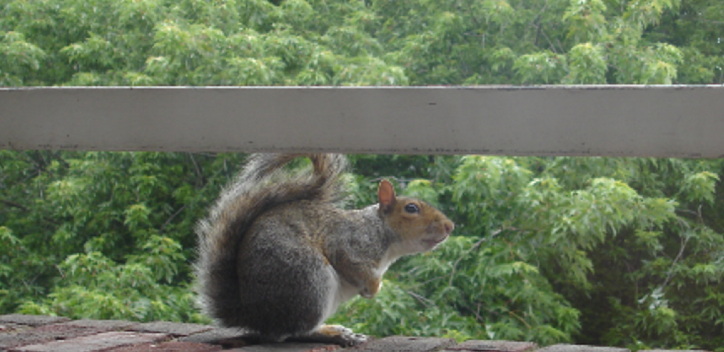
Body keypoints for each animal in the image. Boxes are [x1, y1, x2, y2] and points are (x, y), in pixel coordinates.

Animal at [195, 154, 456, 346]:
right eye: (411, 208)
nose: (449, 226)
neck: (381, 232)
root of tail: (253, 314)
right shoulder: (347, 244)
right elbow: (352, 265)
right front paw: (373, 288)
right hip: (310, 279)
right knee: (292, 332)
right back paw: (333, 333)